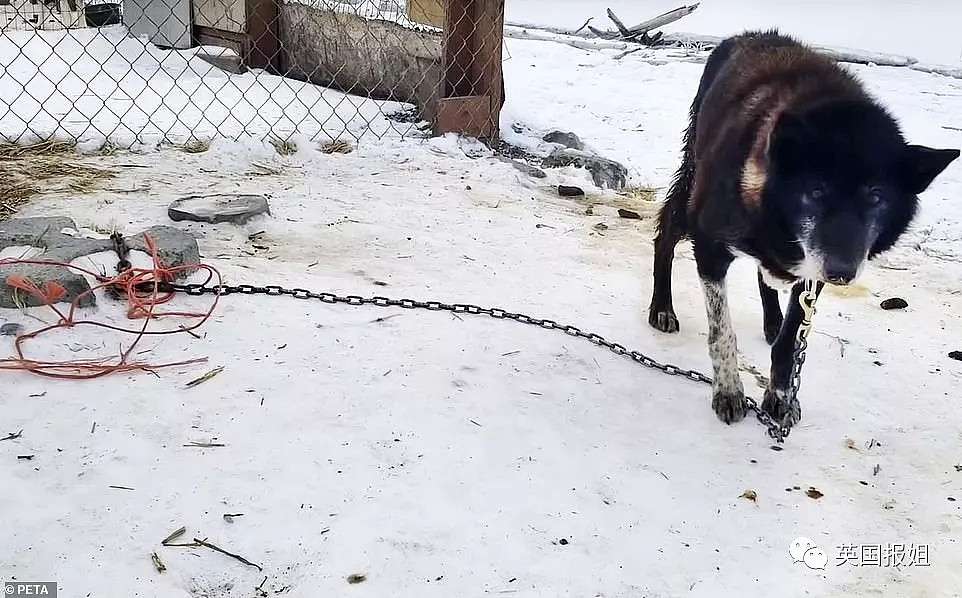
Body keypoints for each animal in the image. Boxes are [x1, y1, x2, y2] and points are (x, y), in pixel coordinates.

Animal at [648, 30, 956, 432]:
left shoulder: (812, 270)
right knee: (666, 233)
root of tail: (747, 35)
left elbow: (790, 342)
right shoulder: (711, 247)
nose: (842, 273)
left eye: (876, 196)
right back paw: (662, 307)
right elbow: (722, 332)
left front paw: (780, 397)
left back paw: (773, 321)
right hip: (690, 190)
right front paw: (729, 391)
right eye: (816, 191)